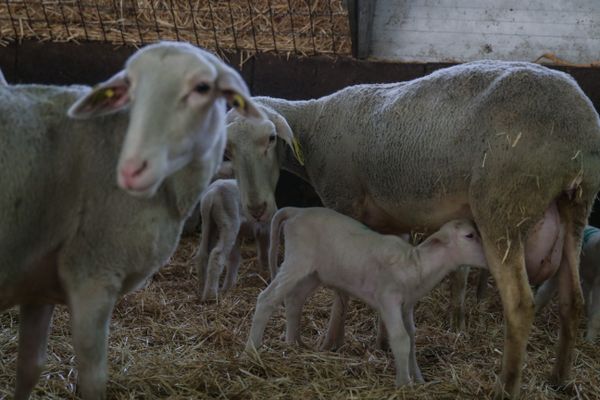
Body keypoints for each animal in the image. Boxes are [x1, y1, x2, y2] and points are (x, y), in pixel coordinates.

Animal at [0, 41, 264, 400]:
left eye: (202, 88)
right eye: (130, 88)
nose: (130, 169)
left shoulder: (39, 283)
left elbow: (29, 367)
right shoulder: (92, 275)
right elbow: (93, 380)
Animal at [246, 208, 490, 386]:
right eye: (469, 235)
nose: (489, 259)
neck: (415, 264)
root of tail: (296, 211)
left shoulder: (407, 305)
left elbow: (412, 337)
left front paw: (419, 379)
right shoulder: (388, 299)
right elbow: (400, 338)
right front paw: (404, 384)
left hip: (314, 272)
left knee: (294, 299)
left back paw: (294, 343)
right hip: (298, 260)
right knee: (266, 298)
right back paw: (251, 349)